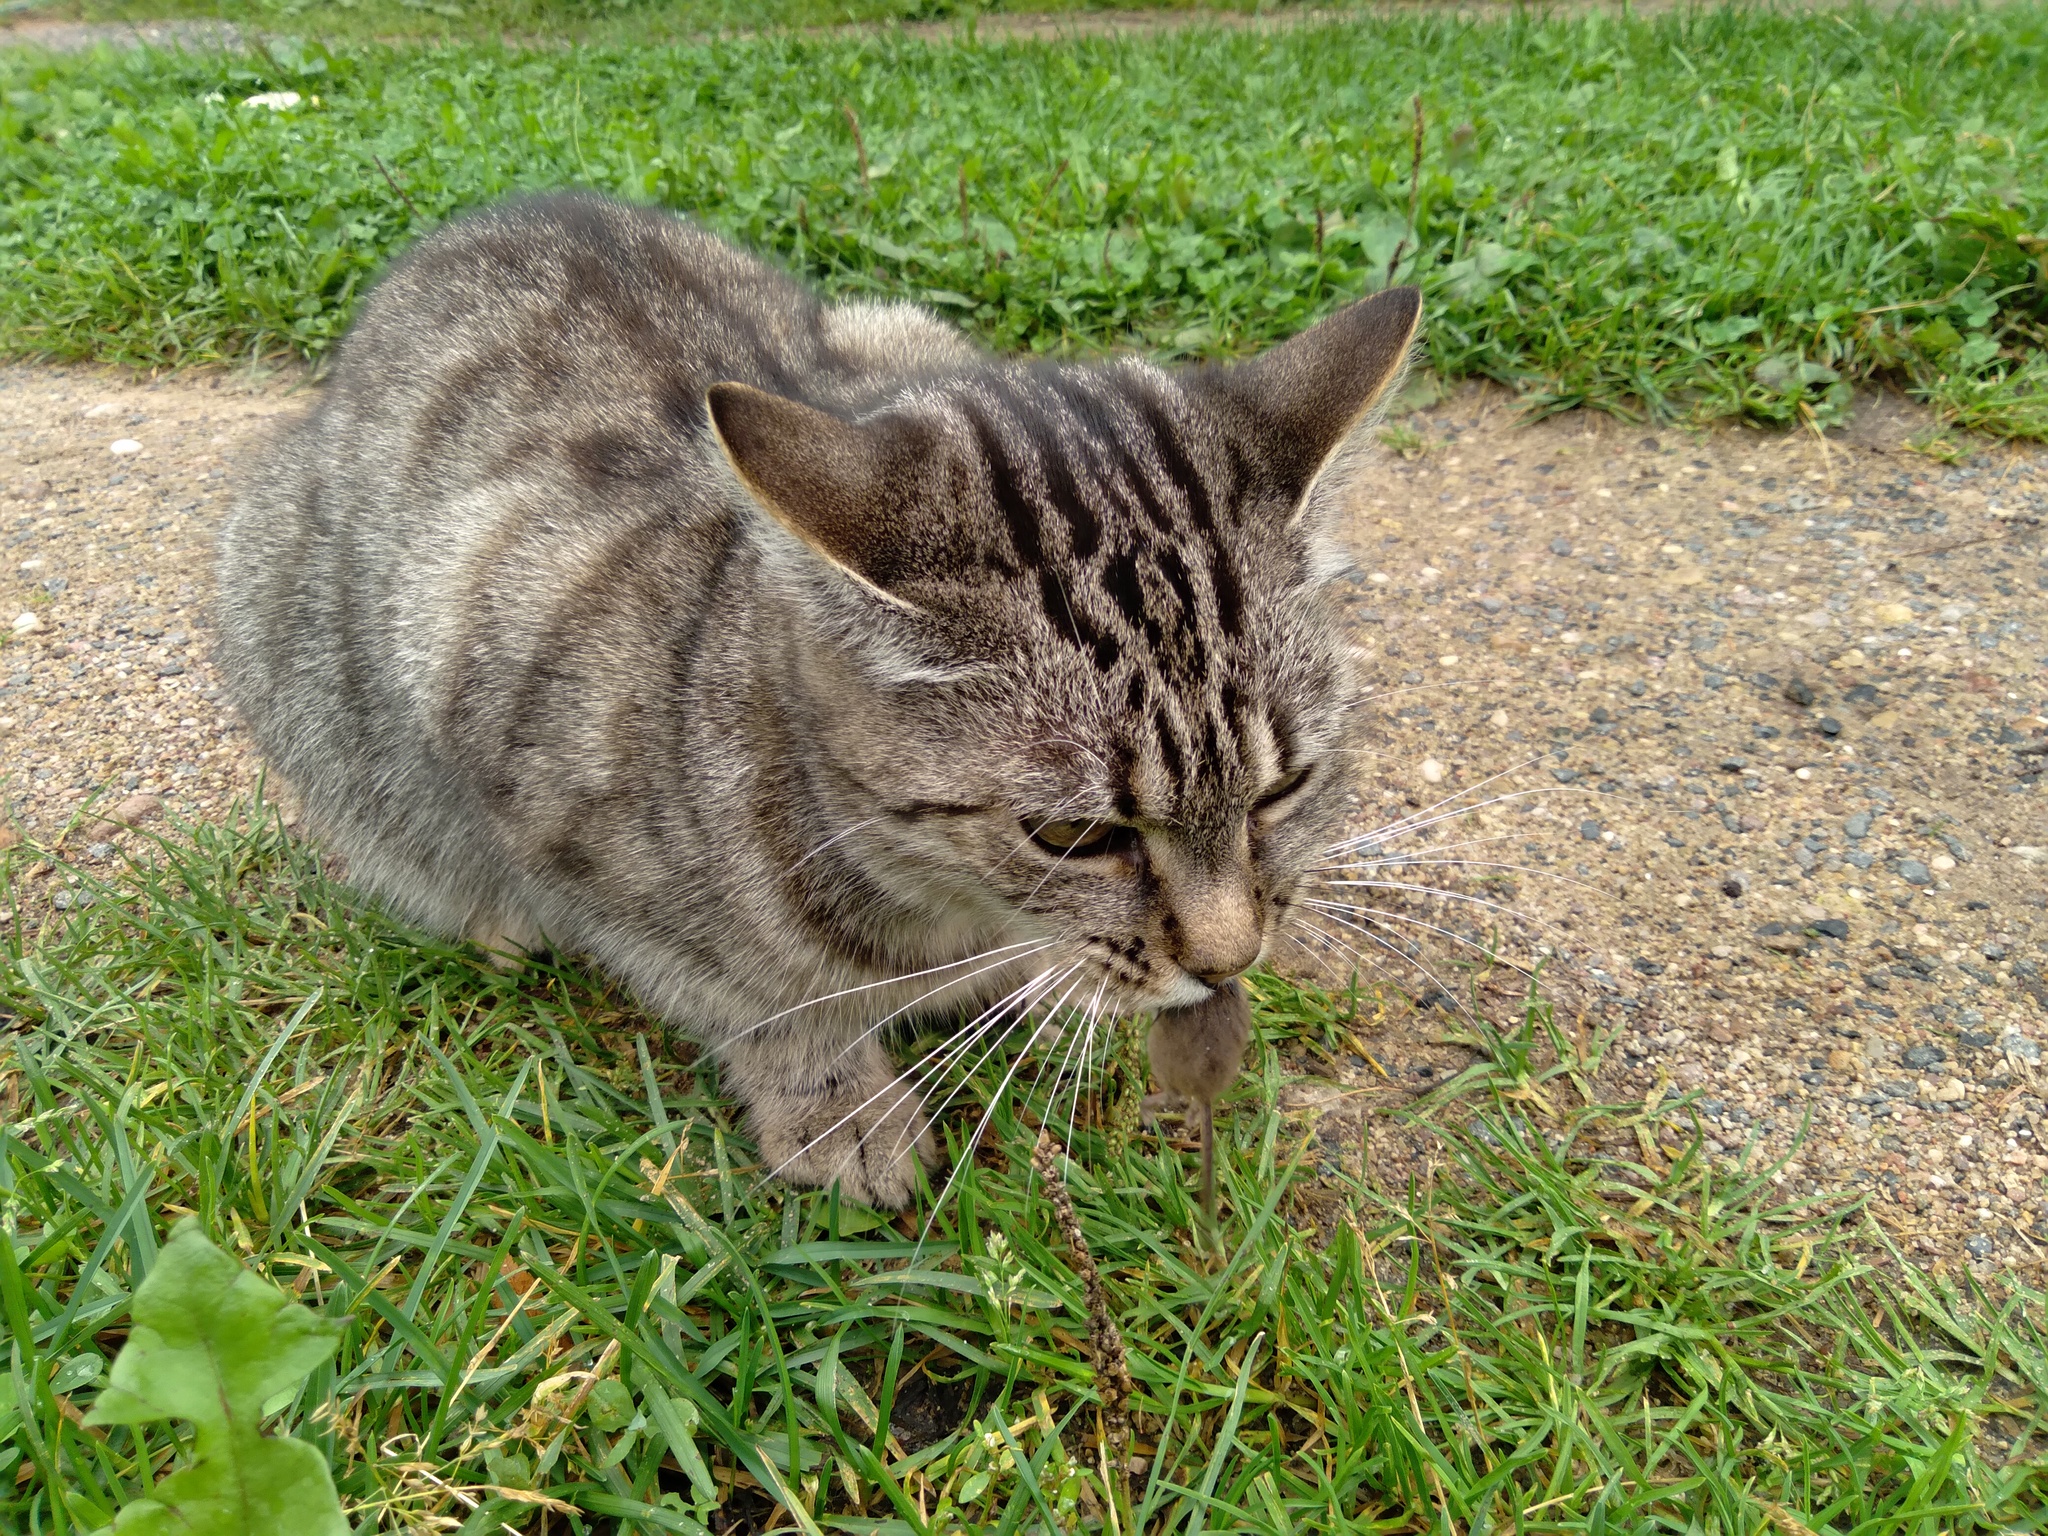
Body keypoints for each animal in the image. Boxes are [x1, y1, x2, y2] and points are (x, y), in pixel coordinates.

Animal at [216, 192, 1417, 1212]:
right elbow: (757, 998)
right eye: (1073, 835)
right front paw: (836, 1103)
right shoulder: (515, 704)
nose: (1229, 959)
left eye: (1286, 787)